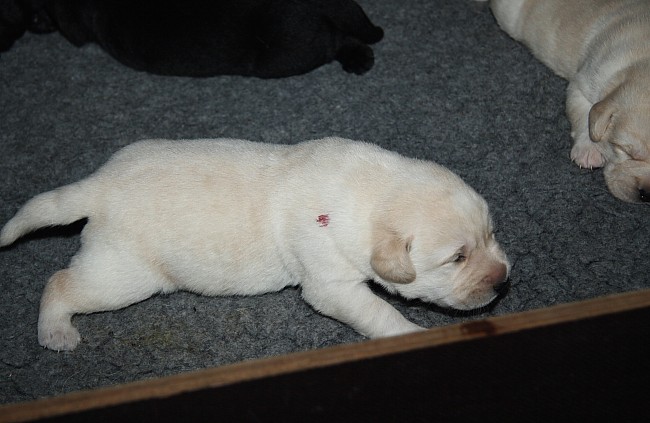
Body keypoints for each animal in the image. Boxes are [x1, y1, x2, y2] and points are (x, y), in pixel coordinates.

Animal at [1, 138, 512, 352]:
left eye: (491, 235)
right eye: (456, 258)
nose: (502, 280)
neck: (375, 193)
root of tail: (98, 185)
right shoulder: (330, 281)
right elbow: (375, 309)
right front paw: (409, 333)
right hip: (123, 272)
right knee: (61, 282)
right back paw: (55, 331)